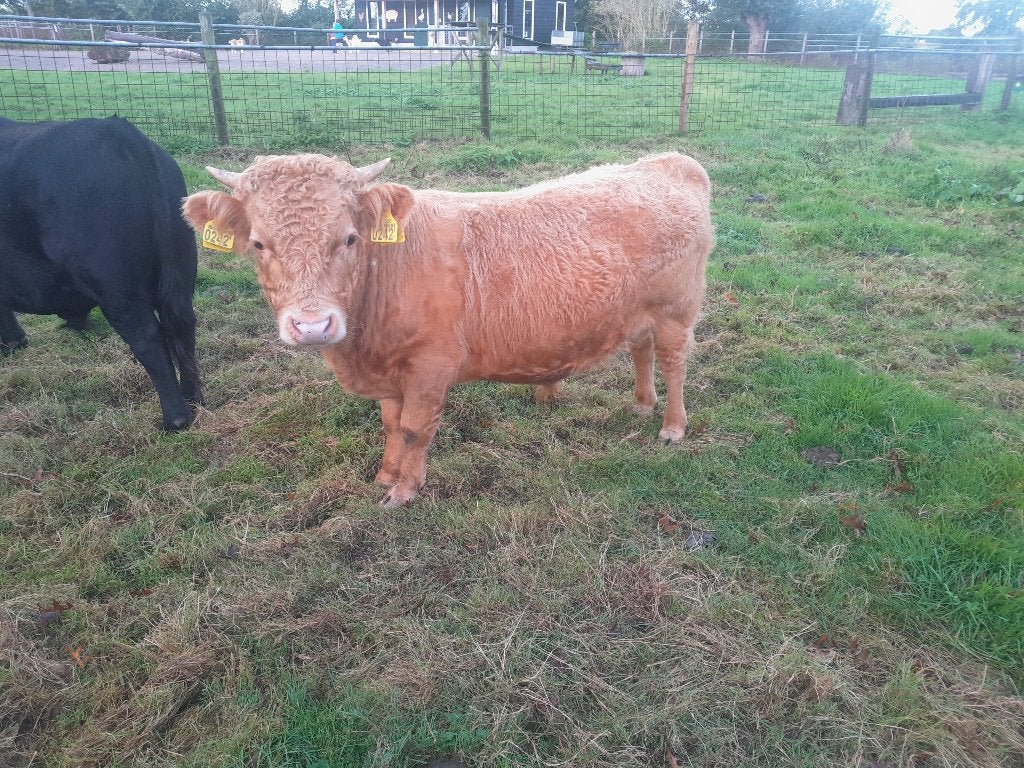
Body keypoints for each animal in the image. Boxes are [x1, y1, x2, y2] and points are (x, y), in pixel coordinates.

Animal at [0, 116, 203, 430]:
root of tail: (115, 130)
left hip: (114, 286)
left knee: (148, 338)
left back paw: (175, 419)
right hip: (180, 268)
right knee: (181, 324)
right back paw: (193, 399)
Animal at [182, 152, 713, 505]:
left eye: (349, 238)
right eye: (258, 244)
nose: (312, 326)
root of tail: (666, 161)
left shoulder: (430, 366)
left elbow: (415, 428)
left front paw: (404, 490)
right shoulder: (391, 372)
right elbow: (391, 424)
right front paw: (386, 474)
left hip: (675, 309)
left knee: (673, 363)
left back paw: (672, 426)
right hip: (638, 314)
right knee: (642, 351)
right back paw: (642, 405)